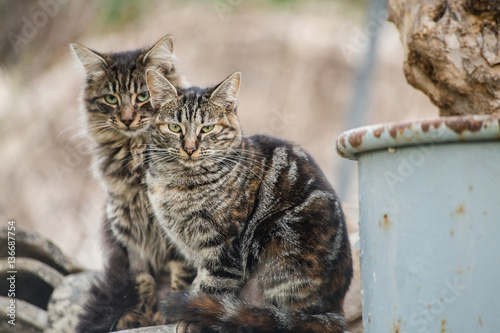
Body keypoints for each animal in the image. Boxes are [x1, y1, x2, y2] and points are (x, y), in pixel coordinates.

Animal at [70, 36, 195, 332]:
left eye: (143, 96)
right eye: (111, 98)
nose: (127, 119)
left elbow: (181, 273)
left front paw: (169, 312)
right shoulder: (129, 232)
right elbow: (143, 280)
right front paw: (144, 315)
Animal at [146, 68, 354, 330]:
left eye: (207, 128)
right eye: (174, 127)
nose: (190, 148)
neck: (179, 182)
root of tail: (335, 309)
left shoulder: (224, 248)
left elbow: (211, 287)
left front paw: (192, 317)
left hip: (281, 244)